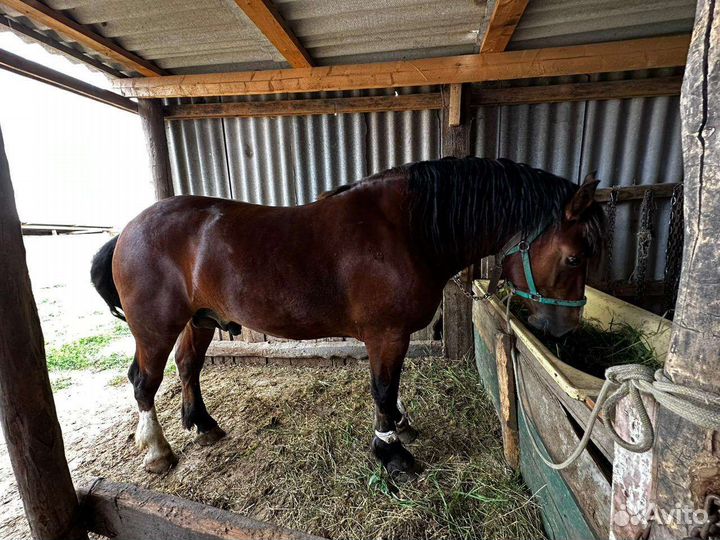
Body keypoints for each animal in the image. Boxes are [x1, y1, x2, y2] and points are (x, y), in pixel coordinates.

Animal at [91, 157, 604, 477]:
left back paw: (203, 424)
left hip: (198, 320)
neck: (407, 231)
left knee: (188, 366)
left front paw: (398, 425)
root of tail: (128, 229)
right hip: (155, 327)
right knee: (143, 381)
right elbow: (383, 387)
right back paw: (157, 451)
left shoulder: (391, 337)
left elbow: (391, 387)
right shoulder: (386, 334)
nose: (565, 330)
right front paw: (391, 452)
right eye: (575, 257)